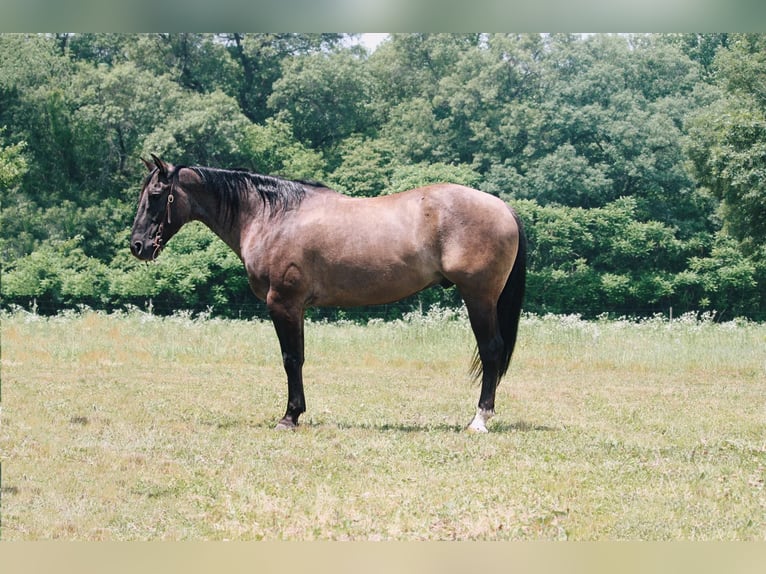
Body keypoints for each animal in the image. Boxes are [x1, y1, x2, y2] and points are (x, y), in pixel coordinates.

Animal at [132, 155, 528, 434]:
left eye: (156, 196)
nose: (138, 245)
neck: (272, 216)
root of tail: (503, 207)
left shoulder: (284, 304)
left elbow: (291, 359)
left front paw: (289, 417)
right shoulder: (296, 308)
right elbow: (299, 357)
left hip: (478, 297)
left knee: (491, 350)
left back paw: (479, 419)